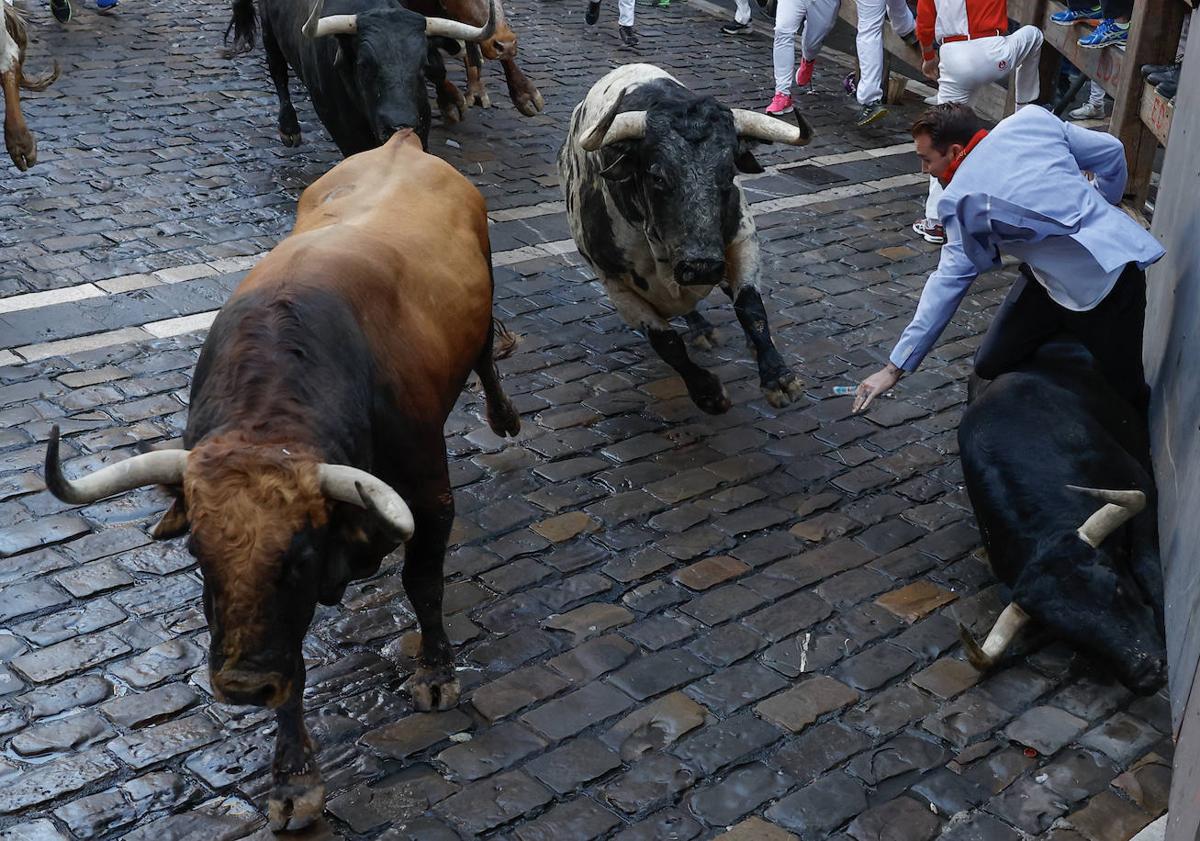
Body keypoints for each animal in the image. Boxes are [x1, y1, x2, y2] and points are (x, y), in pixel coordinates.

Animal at [43, 132, 520, 835]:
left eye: (296, 556)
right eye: (197, 553)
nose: (241, 687)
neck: (275, 412)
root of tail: (402, 142)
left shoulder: (429, 495)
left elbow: (424, 585)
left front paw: (436, 671)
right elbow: (290, 664)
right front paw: (295, 781)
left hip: (484, 303)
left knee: (487, 355)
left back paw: (504, 415)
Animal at [556, 63, 811, 412]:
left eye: (728, 172)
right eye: (657, 176)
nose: (701, 266)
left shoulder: (742, 240)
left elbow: (751, 308)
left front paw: (779, 378)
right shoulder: (615, 285)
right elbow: (666, 342)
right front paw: (708, 392)